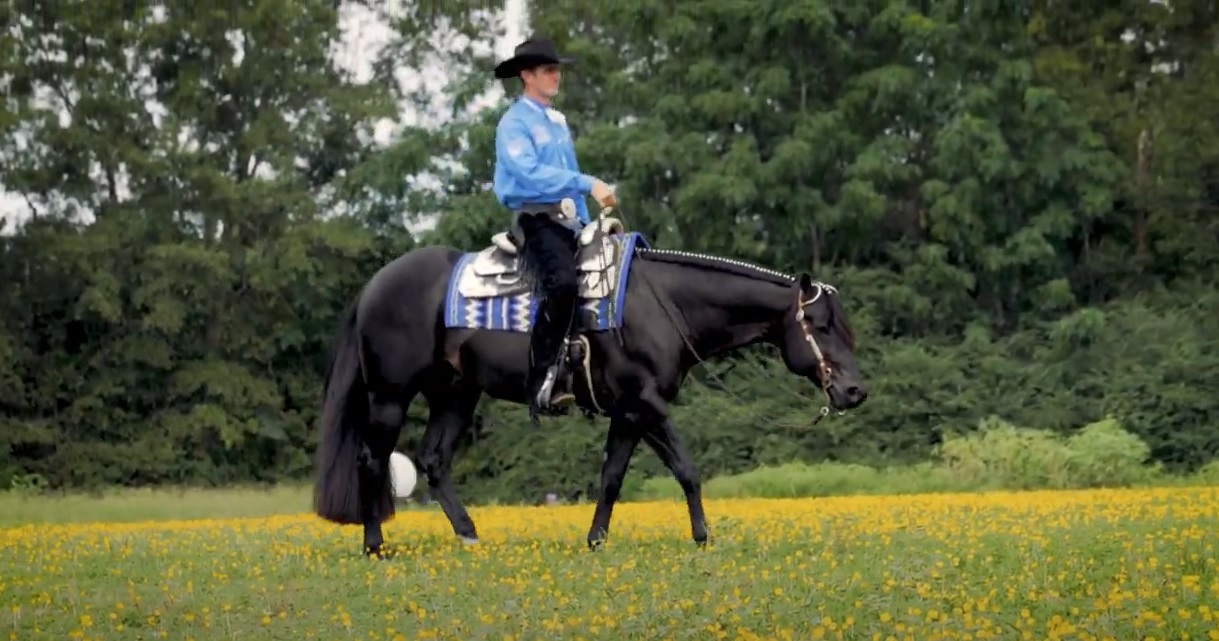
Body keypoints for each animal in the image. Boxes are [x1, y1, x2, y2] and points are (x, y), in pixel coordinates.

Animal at [312, 214, 868, 556]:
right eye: (820, 326)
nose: (854, 392)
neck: (661, 303)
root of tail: (374, 284)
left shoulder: (627, 411)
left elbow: (612, 477)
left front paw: (596, 541)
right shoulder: (646, 403)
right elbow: (687, 469)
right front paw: (703, 538)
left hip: (455, 394)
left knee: (433, 459)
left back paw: (469, 536)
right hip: (390, 395)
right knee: (372, 459)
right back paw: (375, 546)